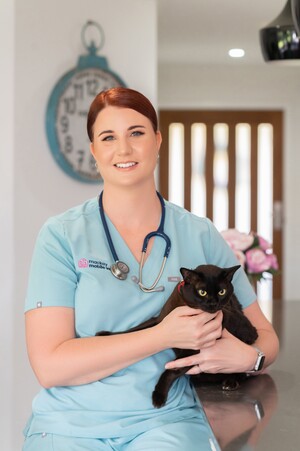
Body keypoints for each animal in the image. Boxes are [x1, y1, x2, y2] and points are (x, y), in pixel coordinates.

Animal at [96, 264, 258, 410]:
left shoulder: (195, 350)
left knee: (243, 372)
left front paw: (158, 396)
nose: (213, 303)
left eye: (222, 292)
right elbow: (134, 330)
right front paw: (106, 335)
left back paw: (230, 382)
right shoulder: (159, 322)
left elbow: (170, 371)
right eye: (202, 292)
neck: (186, 306)